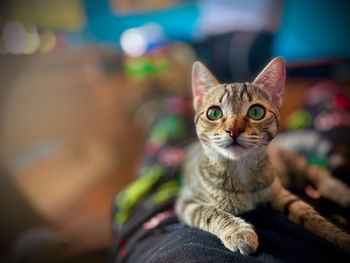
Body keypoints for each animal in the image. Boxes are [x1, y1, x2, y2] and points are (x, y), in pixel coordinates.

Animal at [175, 57, 350, 256]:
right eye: (214, 113)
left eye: (256, 112)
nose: (233, 130)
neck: (241, 171)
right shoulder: (187, 202)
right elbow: (210, 212)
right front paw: (238, 231)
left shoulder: (280, 193)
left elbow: (309, 214)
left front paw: (339, 236)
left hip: (292, 161)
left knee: (316, 172)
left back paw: (338, 190)